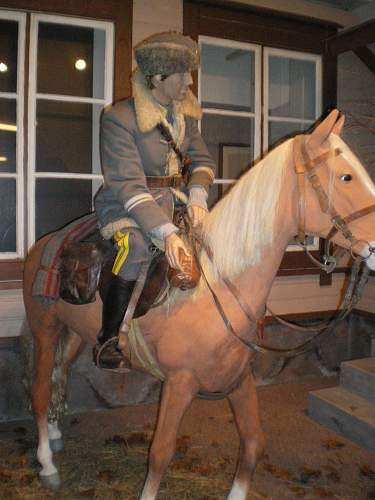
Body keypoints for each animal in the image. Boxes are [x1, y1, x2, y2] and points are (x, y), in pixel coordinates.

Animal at [22, 110, 375, 500]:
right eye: (345, 176)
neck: (219, 288)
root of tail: (47, 242)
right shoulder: (179, 384)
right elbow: (160, 454)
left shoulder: (239, 380)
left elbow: (253, 445)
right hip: (44, 331)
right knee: (40, 391)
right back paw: (47, 464)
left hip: (75, 334)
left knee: (60, 374)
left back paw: (56, 433)